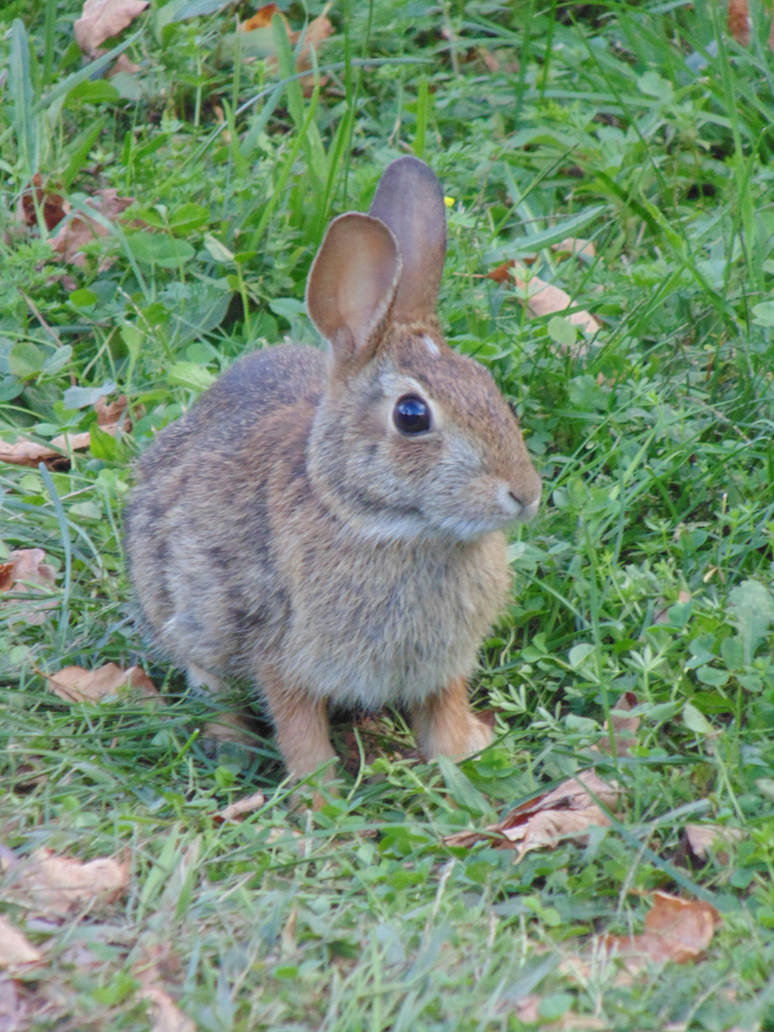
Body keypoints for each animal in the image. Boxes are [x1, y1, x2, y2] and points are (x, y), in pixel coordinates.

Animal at [124, 156, 542, 785]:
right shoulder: (283, 652)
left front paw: (463, 760)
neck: (379, 523)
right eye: (412, 416)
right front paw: (318, 795)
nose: (525, 494)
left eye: (488, 385)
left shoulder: (443, 664)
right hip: (188, 612)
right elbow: (299, 729)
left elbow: (444, 711)